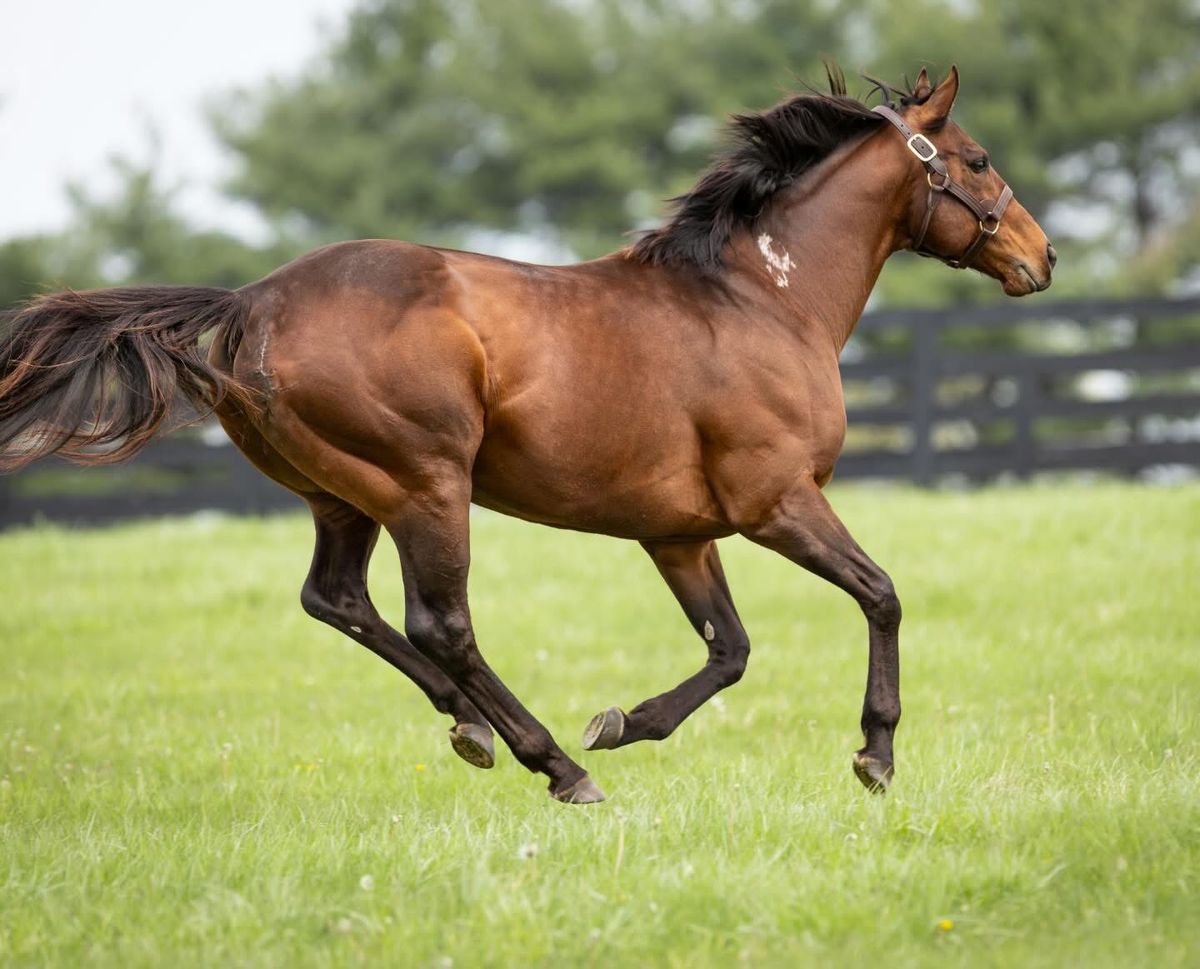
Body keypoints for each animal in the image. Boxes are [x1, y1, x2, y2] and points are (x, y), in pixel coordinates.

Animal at [0, 66, 1054, 804]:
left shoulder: (678, 533)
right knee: (441, 622)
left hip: (341, 495)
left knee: (337, 599)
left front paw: (624, 720)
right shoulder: (776, 502)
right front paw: (875, 754)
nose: (1041, 257)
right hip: (426, 484)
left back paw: (473, 729)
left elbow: (731, 649)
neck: (760, 300)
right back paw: (552, 764)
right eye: (977, 160)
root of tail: (250, 302)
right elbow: (881, 595)